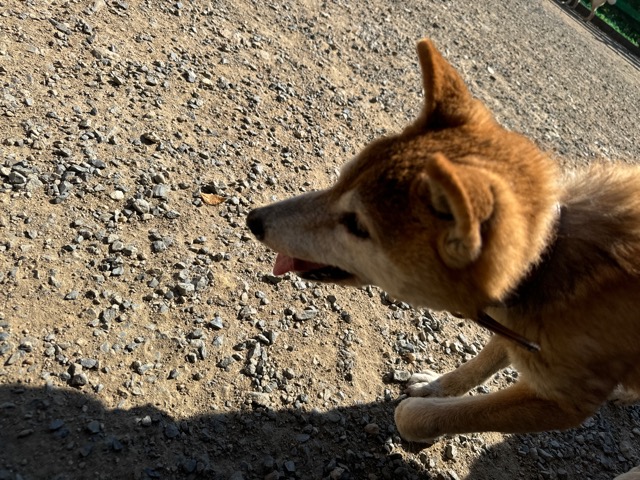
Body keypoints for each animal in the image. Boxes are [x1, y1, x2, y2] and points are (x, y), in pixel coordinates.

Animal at [246, 38, 640, 478]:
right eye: (341, 178)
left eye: (357, 225)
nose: (253, 219)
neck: (548, 257)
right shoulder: (516, 328)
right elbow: (479, 364)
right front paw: (437, 386)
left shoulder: (563, 400)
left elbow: (418, 415)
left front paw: (427, 417)